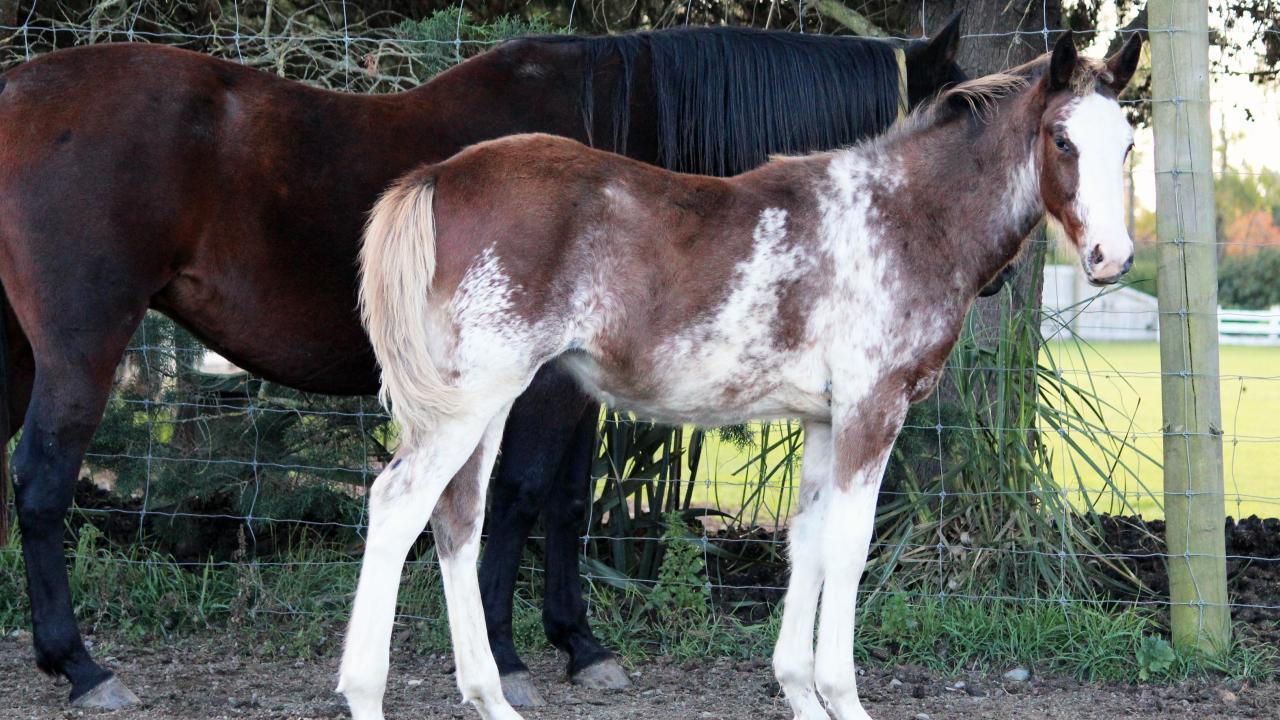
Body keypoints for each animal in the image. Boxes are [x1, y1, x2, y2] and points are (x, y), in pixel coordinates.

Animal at [0, 20, 962, 707]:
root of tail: (17, 87)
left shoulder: (575, 383)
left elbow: (566, 502)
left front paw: (577, 644)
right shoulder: (542, 390)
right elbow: (518, 498)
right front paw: (508, 655)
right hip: (83, 346)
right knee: (42, 482)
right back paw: (81, 667)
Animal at [340, 32, 1141, 717]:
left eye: (1129, 143)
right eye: (1062, 139)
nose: (1112, 257)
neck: (902, 218)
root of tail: (440, 177)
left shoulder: (824, 419)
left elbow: (807, 542)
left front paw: (800, 692)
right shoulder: (872, 410)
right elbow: (850, 548)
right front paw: (842, 697)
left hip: (483, 403)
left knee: (457, 518)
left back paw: (490, 696)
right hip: (471, 401)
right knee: (398, 504)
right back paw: (367, 692)